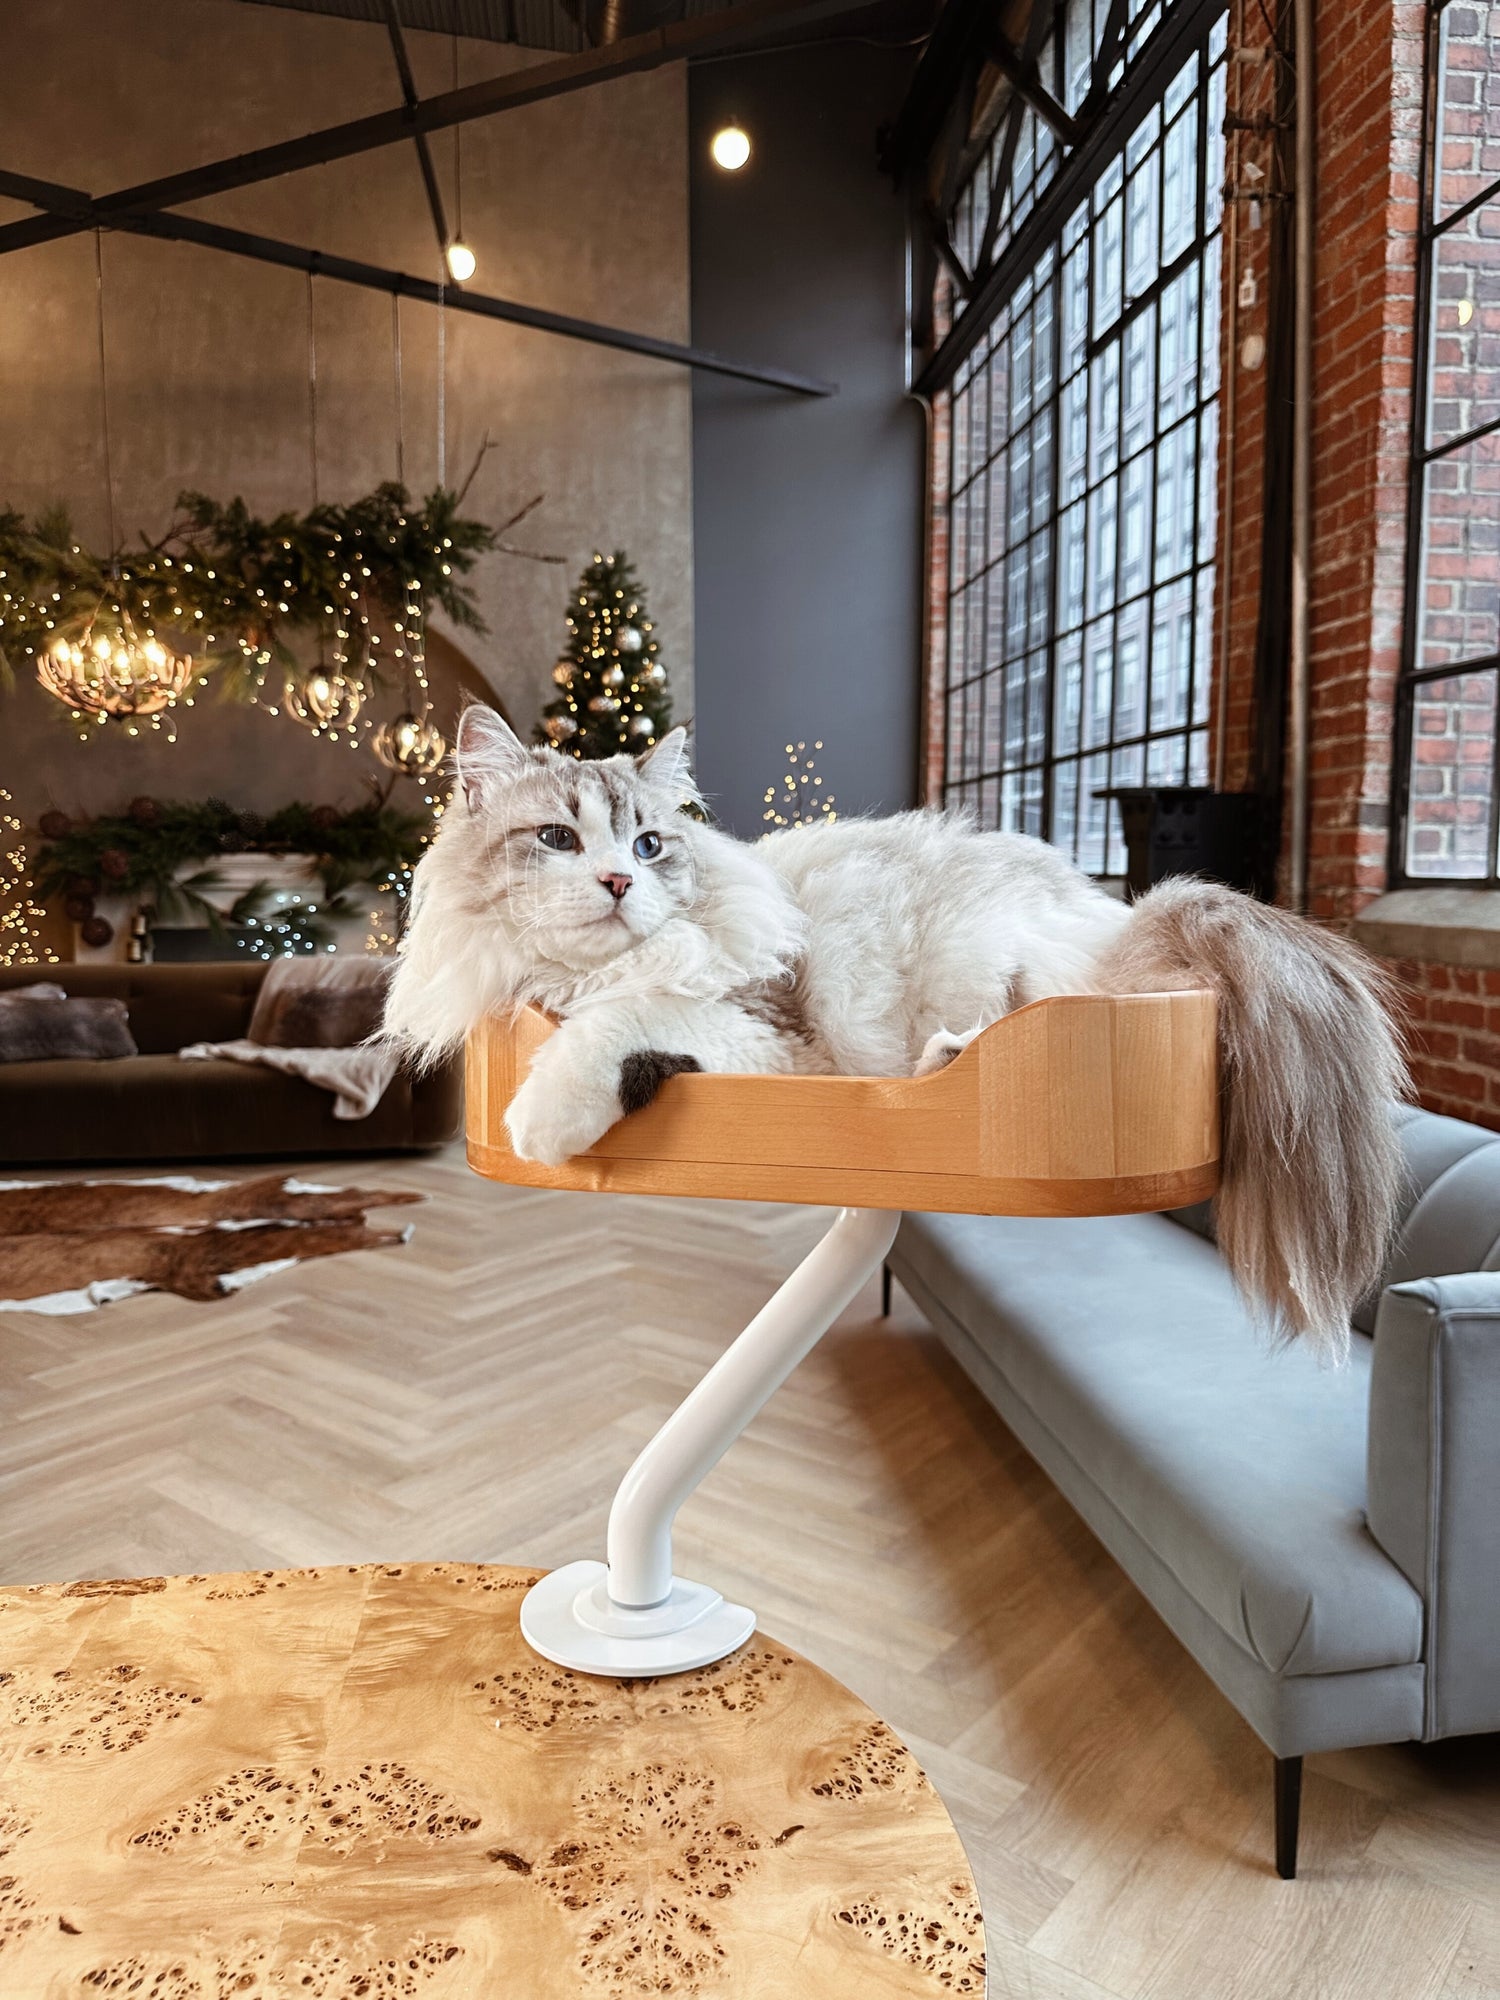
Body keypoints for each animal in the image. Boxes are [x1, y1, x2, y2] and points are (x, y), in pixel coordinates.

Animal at [384, 708, 1408, 1360]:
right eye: (558, 840)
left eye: (648, 846)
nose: (619, 884)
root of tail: (1133, 912)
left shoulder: (773, 1034)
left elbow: (623, 1020)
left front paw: (542, 1120)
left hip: (1003, 970)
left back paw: (951, 1053)